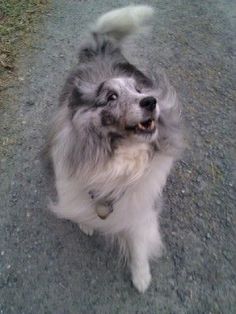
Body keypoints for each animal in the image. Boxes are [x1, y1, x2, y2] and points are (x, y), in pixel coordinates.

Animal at [45, 4, 183, 294]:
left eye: (139, 89)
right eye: (111, 97)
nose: (151, 101)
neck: (119, 157)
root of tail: (101, 49)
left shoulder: (139, 206)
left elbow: (138, 240)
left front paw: (141, 276)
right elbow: (79, 206)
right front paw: (85, 223)